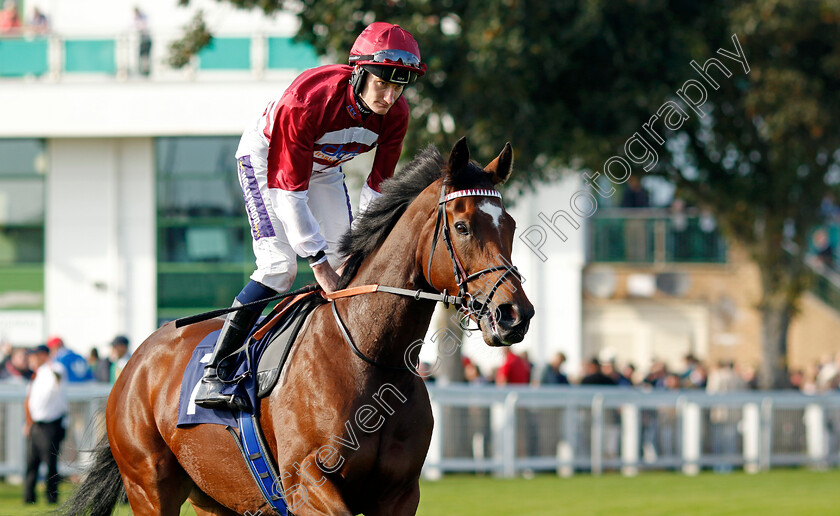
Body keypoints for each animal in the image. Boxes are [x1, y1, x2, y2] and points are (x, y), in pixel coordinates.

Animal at [62, 138, 536, 516]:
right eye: (462, 226)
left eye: (510, 224)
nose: (515, 314)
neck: (369, 356)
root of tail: (137, 359)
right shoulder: (308, 483)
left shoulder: (400, 493)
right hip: (148, 485)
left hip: (214, 497)